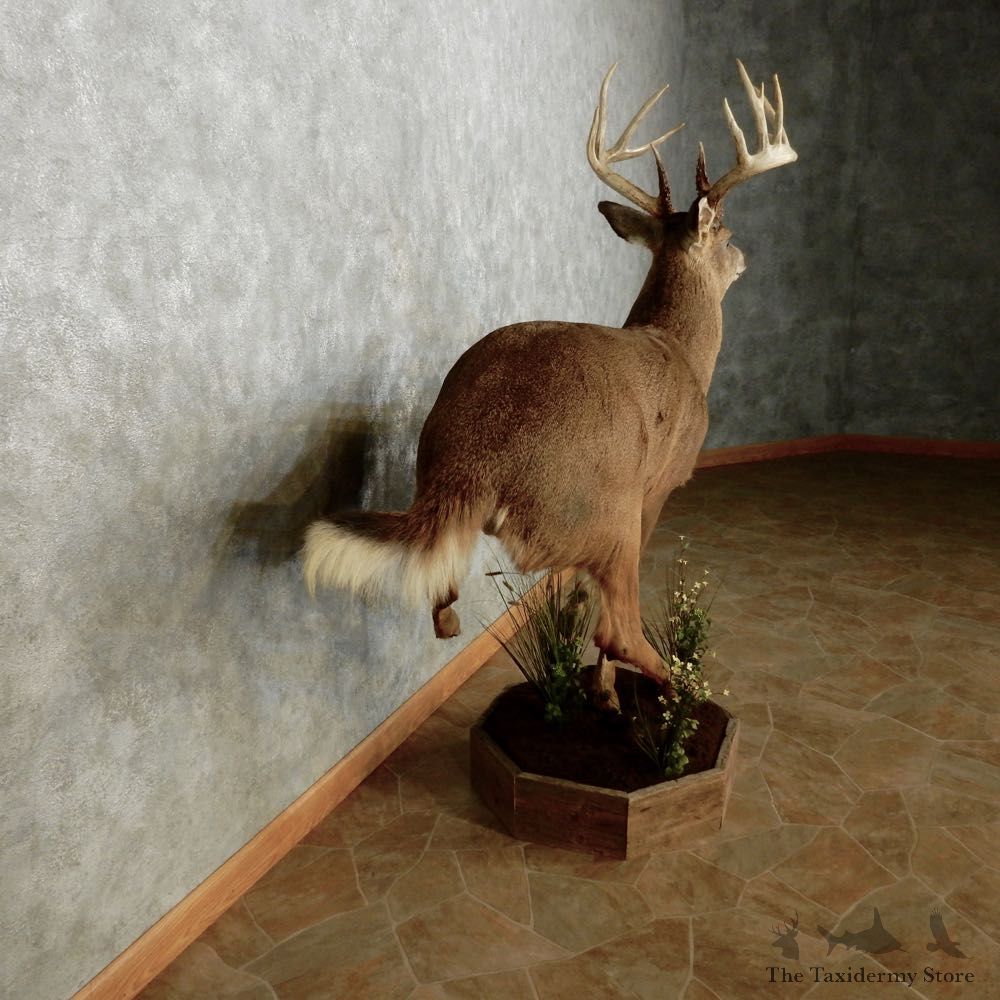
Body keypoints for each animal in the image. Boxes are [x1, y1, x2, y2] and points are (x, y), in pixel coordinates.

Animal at [303, 60, 797, 709]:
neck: (681, 353)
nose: (743, 257)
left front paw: (582, 679)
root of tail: (471, 465)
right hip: (604, 510)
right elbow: (596, 609)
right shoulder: (660, 483)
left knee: (445, 600)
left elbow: (567, 603)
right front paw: (605, 690)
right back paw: (679, 692)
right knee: (619, 627)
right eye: (725, 234)